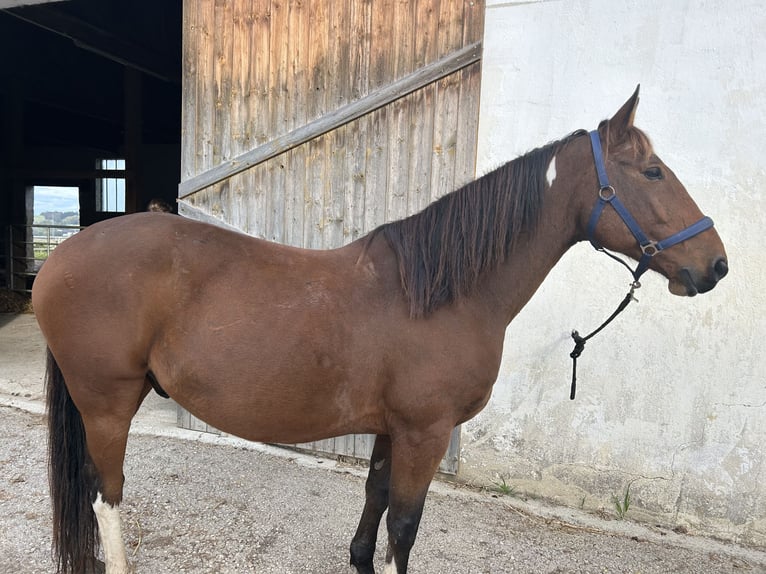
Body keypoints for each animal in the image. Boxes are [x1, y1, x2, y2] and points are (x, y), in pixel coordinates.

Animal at [33, 88, 728, 572]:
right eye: (652, 173)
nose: (716, 265)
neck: (444, 292)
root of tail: (62, 256)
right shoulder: (426, 432)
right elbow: (405, 526)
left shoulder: (393, 429)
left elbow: (374, 501)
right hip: (107, 404)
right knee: (106, 498)